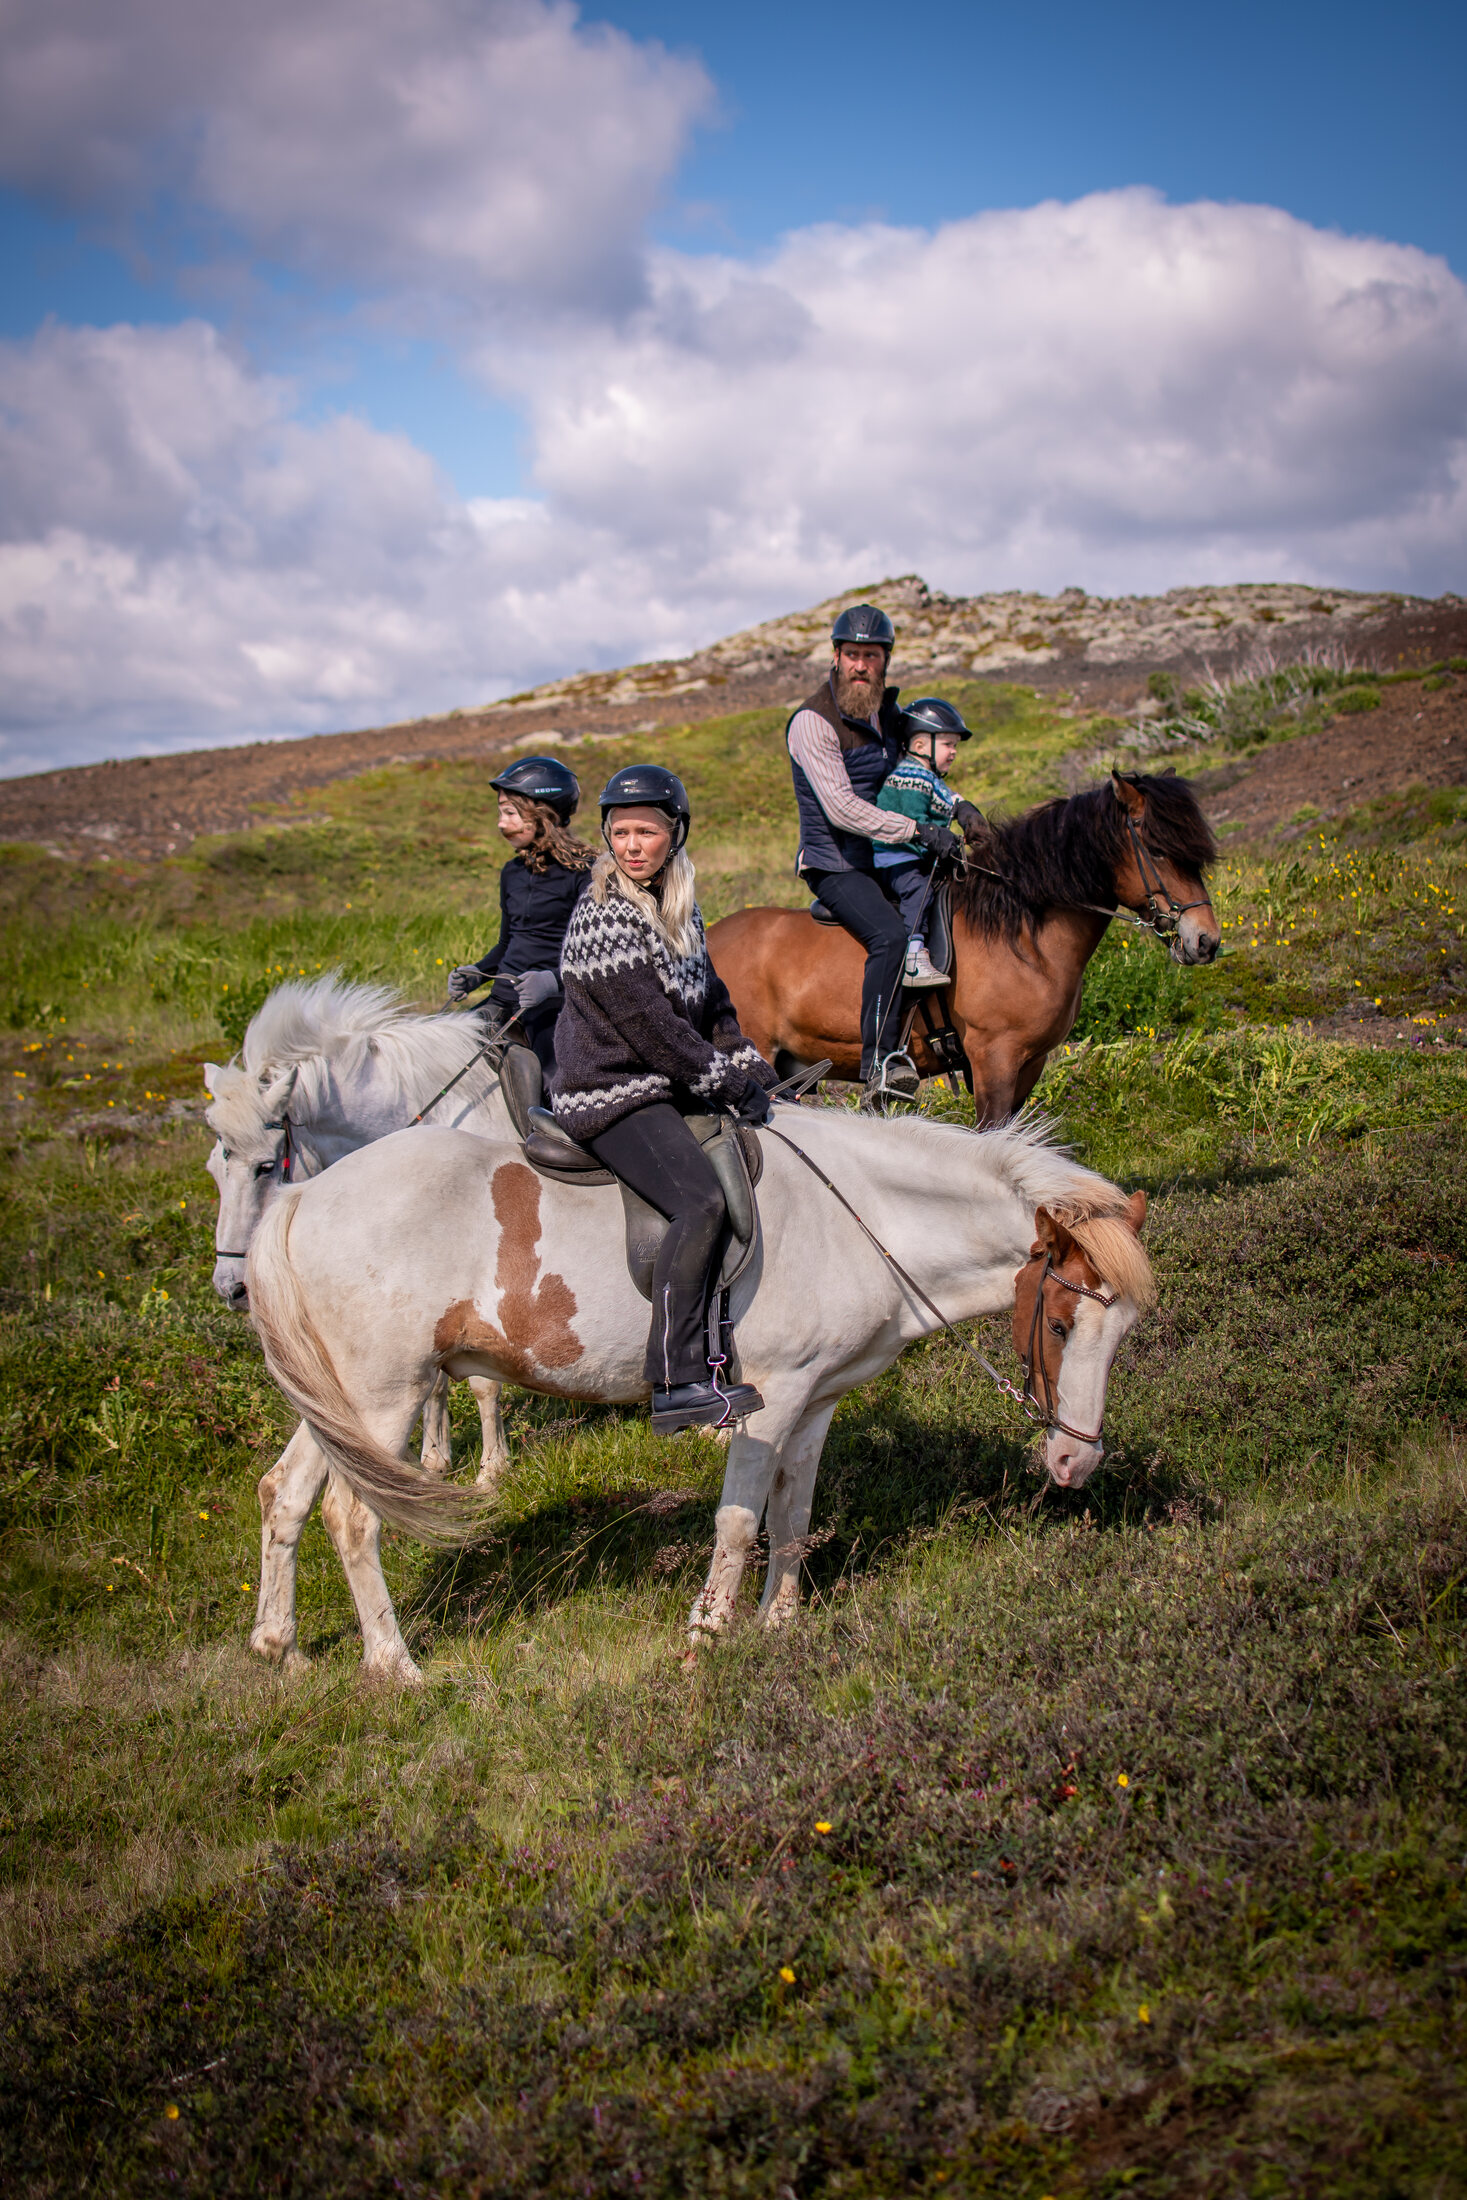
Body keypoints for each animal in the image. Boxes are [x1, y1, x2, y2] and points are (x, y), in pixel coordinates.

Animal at [201, 974, 515, 1671]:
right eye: (214, 1168)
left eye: (264, 1165)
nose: (232, 1289)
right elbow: (440, 1381)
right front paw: (433, 1458)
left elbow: (483, 1382)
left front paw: (491, 1468)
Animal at [243, 1104, 1154, 1684]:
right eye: (1062, 1325)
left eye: (1125, 1333)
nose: (1075, 1464)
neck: (861, 1218)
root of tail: (301, 1197)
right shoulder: (770, 1400)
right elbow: (740, 1521)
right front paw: (711, 1631)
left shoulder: (816, 1403)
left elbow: (794, 1515)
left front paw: (781, 1623)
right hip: (385, 1399)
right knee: (351, 1517)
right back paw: (395, 1666)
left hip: (338, 1407)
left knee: (285, 1493)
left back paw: (279, 1645)